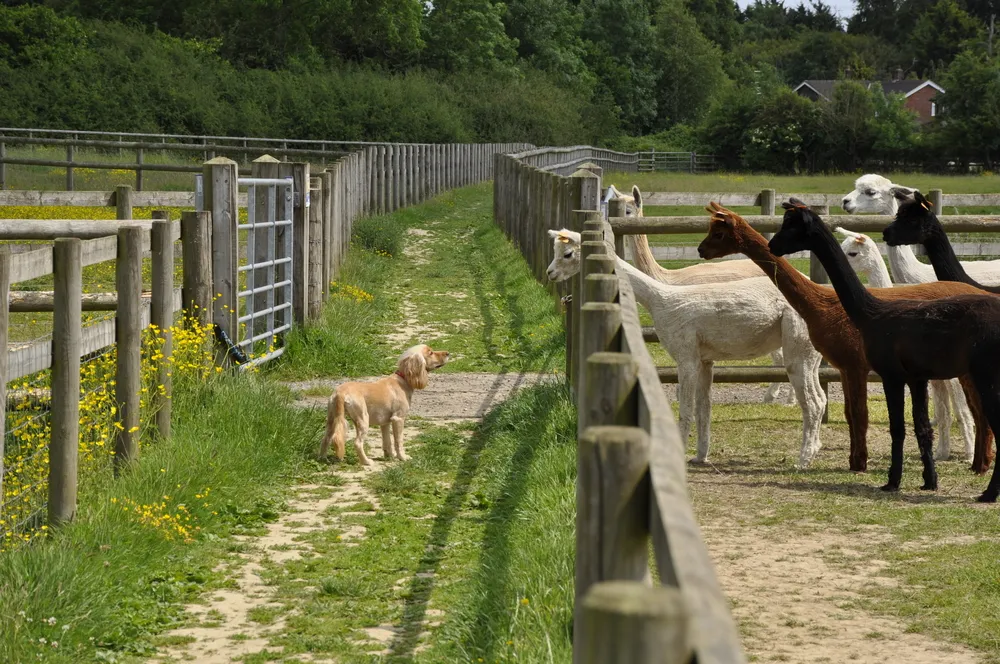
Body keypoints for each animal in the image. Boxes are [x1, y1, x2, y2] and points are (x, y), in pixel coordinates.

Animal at [319, 344, 450, 466]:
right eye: (430, 352)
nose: (448, 353)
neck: (403, 379)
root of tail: (340, 392)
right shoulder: (398, 418)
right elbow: (398, 441)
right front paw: (402, 457)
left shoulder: (385, 422)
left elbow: (387, 441)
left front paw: (389, 456)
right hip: (363, 418)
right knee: (357, 443)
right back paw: (366, 461)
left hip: (332, 419)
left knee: (326, 438)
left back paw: (322, 458)